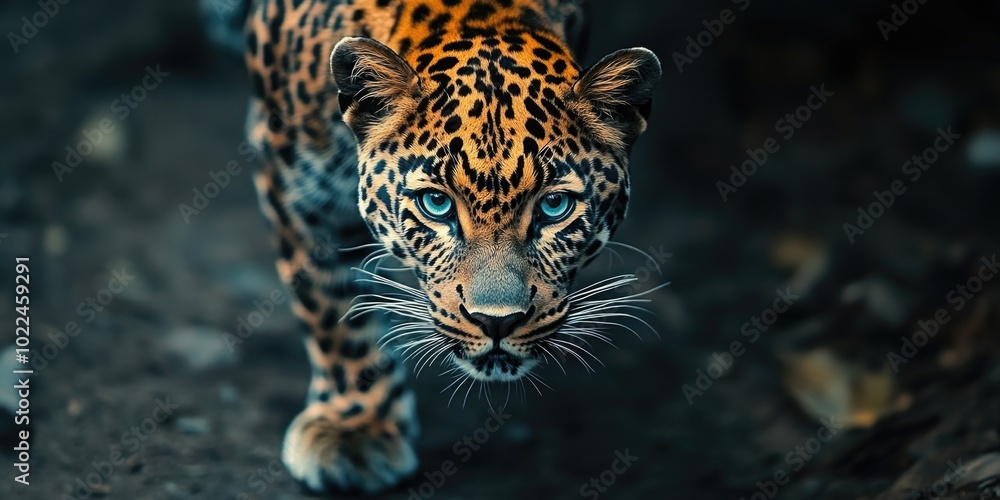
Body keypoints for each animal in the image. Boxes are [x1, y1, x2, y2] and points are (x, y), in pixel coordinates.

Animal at [241, 0, 661, 494]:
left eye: (554, 205)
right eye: (436, 204)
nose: (496, 322)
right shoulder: (295, 183)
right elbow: (333, 306)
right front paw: (354, 426)